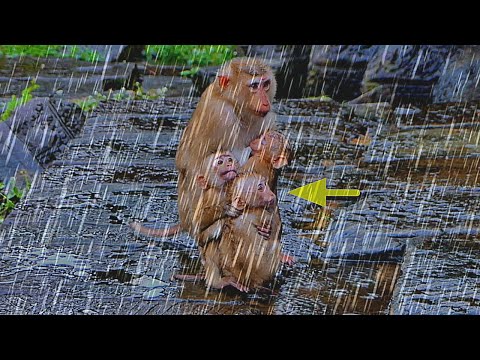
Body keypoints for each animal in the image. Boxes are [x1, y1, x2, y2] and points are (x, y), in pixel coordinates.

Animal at [176, 57, 276, 236]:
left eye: (265, 84)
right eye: (254, 86)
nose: (265, 102)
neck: (230, 100)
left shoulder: (267, 119)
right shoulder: (222, 116)